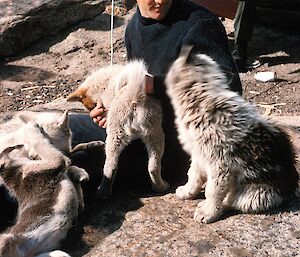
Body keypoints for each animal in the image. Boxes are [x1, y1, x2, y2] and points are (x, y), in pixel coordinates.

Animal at [68, 61, 170, 197]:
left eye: (93, 106)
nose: (96, 114)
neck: (106, 83)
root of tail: (135, 96)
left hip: (124, 136)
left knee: (112, 166)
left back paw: (103, 192)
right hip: (152, 134)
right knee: (151, 166)